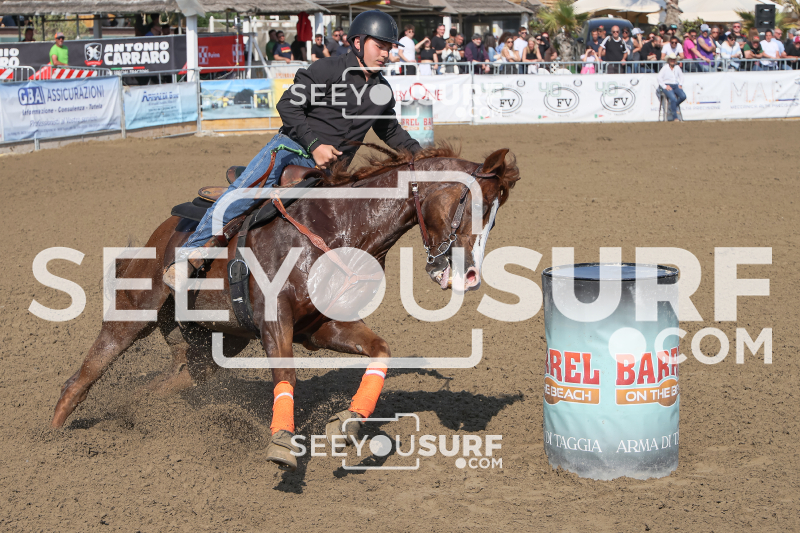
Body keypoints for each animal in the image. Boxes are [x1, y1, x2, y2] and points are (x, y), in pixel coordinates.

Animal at [50, 143, 520, 471]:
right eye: (472, 204)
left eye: (497, 216)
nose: (470, 275)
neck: (337, 225)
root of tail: (165, 228)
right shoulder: (276, 321)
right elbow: (286, 376)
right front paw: (281, 443)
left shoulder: (323, 327)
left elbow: (380, 351)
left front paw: (347, 423)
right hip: (135, 311)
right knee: (85, 374)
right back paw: (51, 438)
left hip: (215, 341)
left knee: (175, 381)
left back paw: (138, 409)